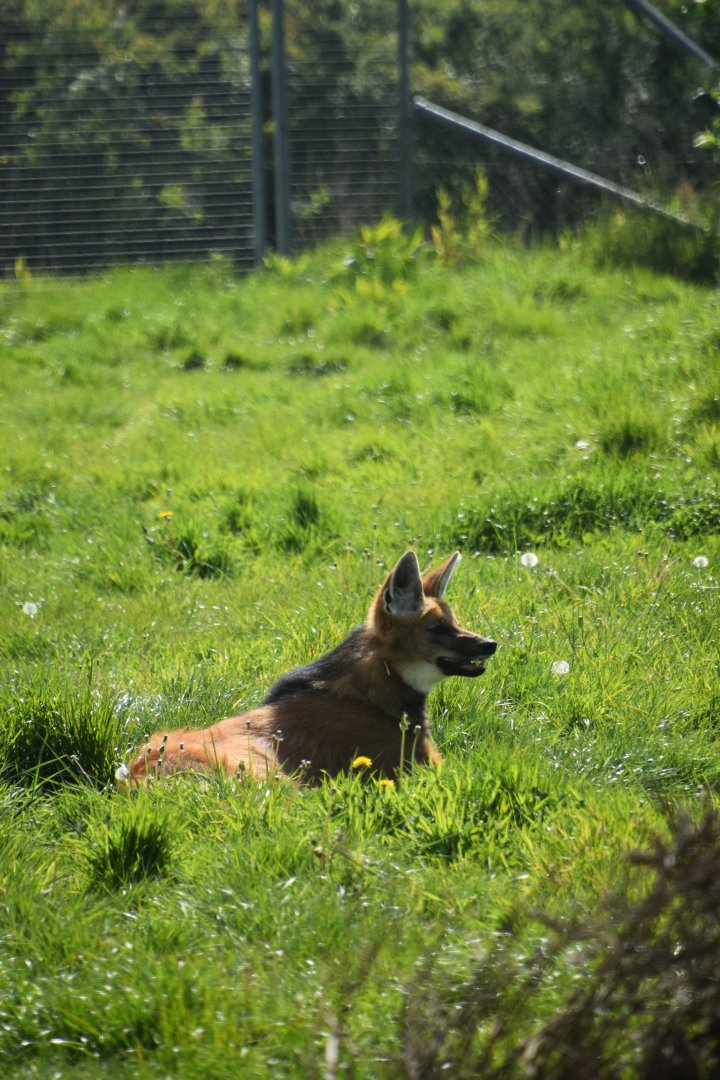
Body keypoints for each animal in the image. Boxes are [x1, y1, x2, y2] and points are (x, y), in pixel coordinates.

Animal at [127, 551, 496, 783]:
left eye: (454, 622)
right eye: (437, 628)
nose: (490, 644)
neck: (374, 695)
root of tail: (132, 776)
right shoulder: (418, 764)